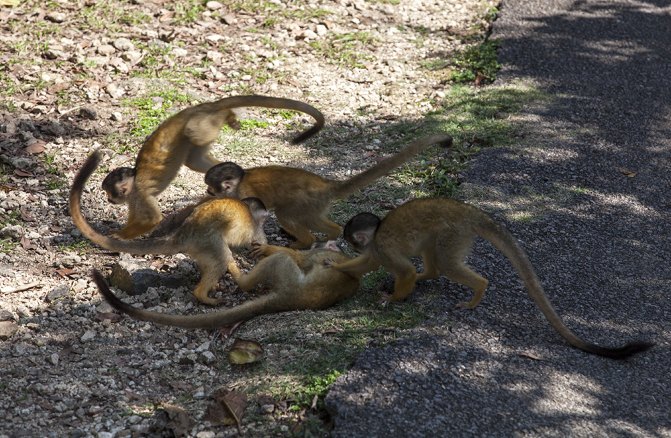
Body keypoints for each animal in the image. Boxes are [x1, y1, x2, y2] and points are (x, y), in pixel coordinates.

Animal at [93, 240, 362, 328]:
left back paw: (239, 277)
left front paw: (266, 248)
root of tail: (293, 298)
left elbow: (297, 256)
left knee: (283, 260)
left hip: (289, 278)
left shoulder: (315, 255)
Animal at [101, 94, 326, 240]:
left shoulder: (139, 193)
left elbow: (153, 219)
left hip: (200, 122)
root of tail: (202, 107)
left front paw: (118, 236)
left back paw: (228, 114)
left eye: (109, 193)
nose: (108, 200)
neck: (133, 181)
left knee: (194, 132)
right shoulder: (133, 198)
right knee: (194, 159)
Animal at [207, 133, 454, 250]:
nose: (209, 192)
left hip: (306, 202)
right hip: (316, 205)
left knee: (287, 214)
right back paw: (329, 234)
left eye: (212, 188)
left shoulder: (242, 192)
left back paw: (306, 241)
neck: (239, 183)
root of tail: (326, 185)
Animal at [330, 198, 656, 360]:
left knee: (447, 262)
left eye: (352, 239)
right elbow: (367, 264)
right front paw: (338, 267)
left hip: (453, 232)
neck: (377, 234)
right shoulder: (377, 249)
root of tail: (470, 212)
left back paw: (476, 293)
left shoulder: (382, 246)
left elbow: (403, 271)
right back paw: (429, 275)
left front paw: (393, 298)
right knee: (435, 255)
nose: (349, 245)